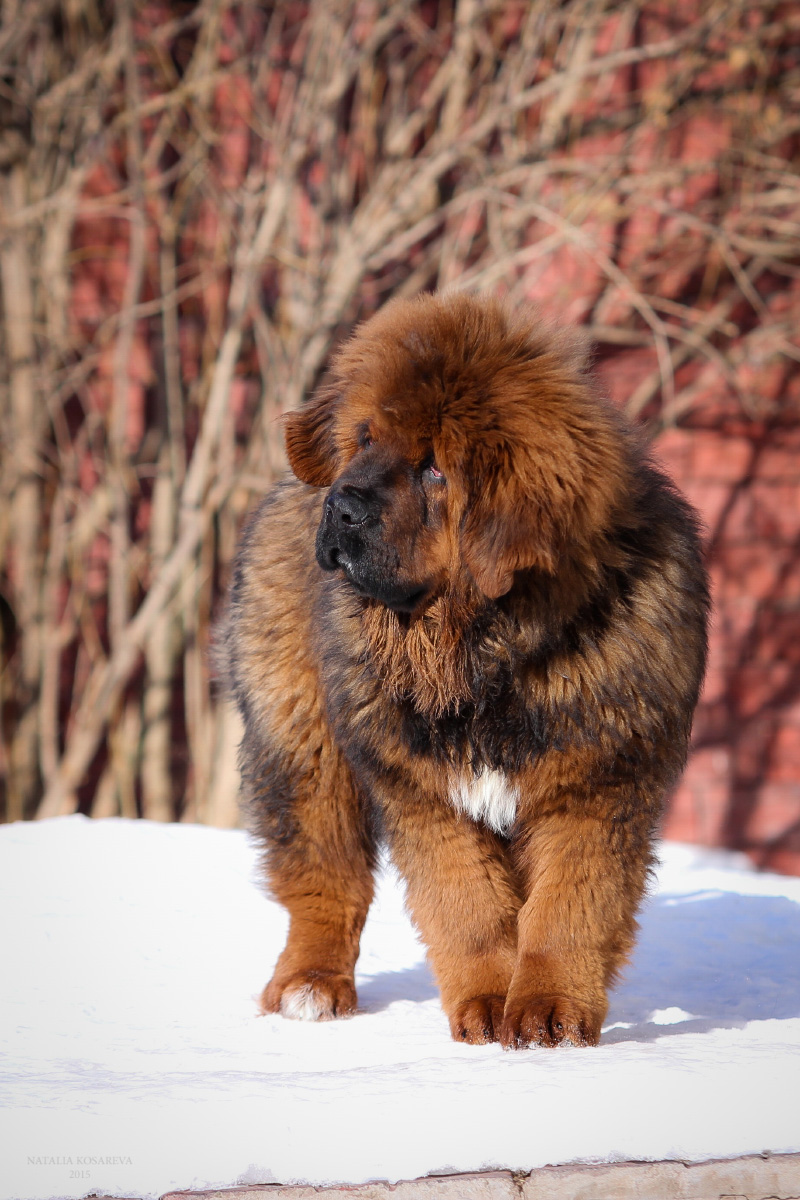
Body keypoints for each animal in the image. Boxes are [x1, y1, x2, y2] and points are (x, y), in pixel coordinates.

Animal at [221, 292, 710, 1051]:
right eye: (365, 439)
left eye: (435, 469)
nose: (341, 505)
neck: (484, 654)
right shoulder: (425, 788)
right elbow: (468, 907)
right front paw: (485, 1004)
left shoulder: (597, 784)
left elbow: (568, 910)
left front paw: (547, 1012)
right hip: (301, 739)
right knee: (326, 877)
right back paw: (310, 986)